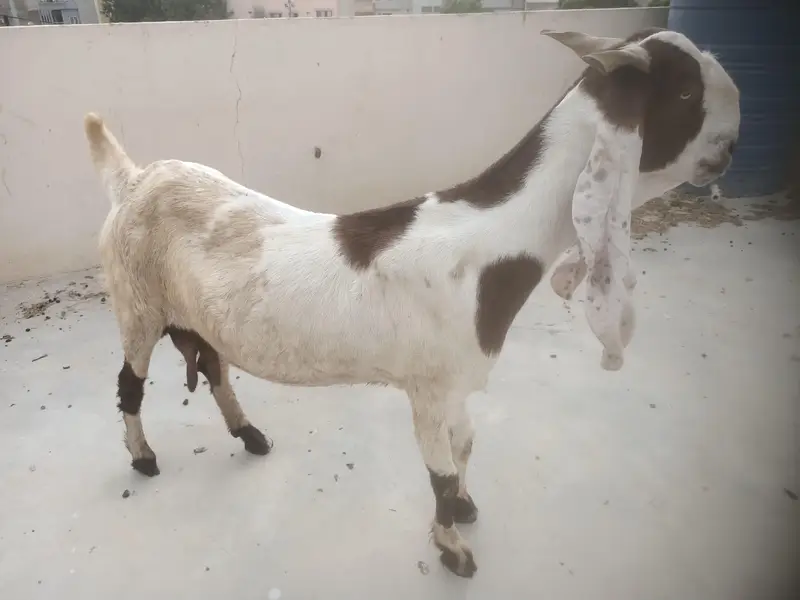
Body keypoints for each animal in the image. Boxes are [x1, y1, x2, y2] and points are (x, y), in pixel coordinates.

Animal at [83, 27, 740, 578]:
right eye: (687, 91)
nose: (731, 148)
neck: (489, 246)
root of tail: (133, 179)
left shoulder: (455, 385)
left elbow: (466, 445)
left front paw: (467, 511)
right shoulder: (426, 386)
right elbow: (440, 474)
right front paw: (453, 551)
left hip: (194, 313)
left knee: (216, 367)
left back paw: (249, 434)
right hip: (137, 303)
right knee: (129, 385)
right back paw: (144, 458)